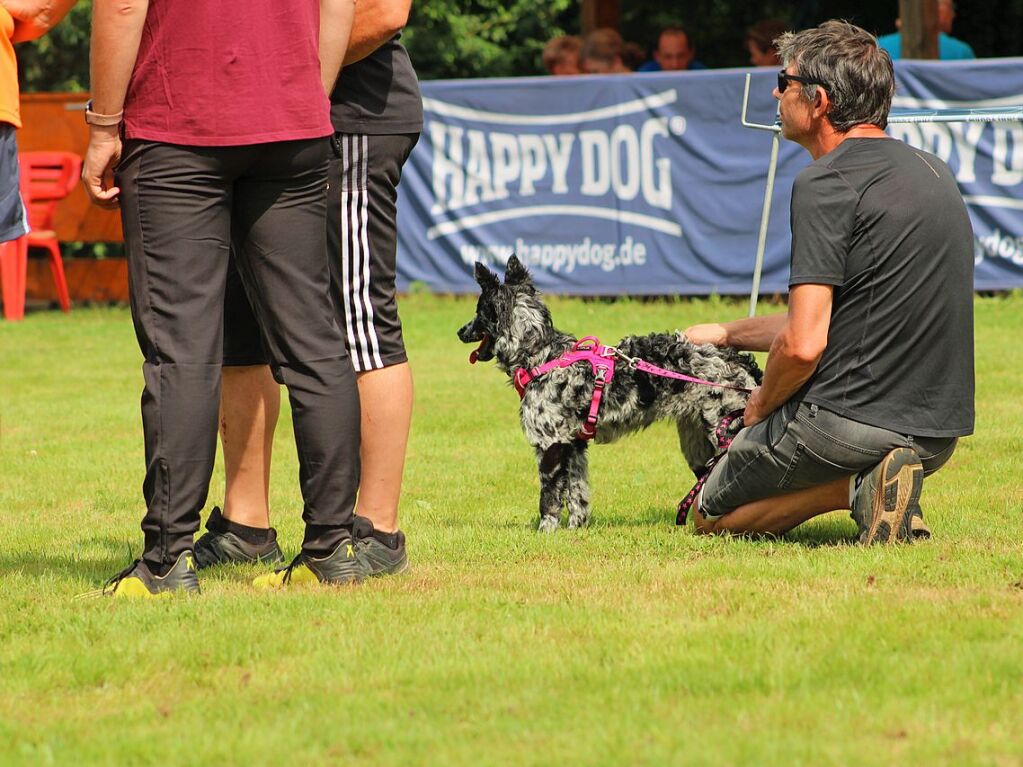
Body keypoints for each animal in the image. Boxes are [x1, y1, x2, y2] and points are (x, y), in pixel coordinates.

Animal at [456, 258, 761, 535]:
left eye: (479, 312)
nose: (459, 331)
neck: (542, 356)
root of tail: (739, 359)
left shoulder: (551, 444)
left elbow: (549, 500)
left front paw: (546, 532)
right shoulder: (574, 446)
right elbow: (577, 497)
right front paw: (575, 531)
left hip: (724, 434)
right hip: (697, 445)